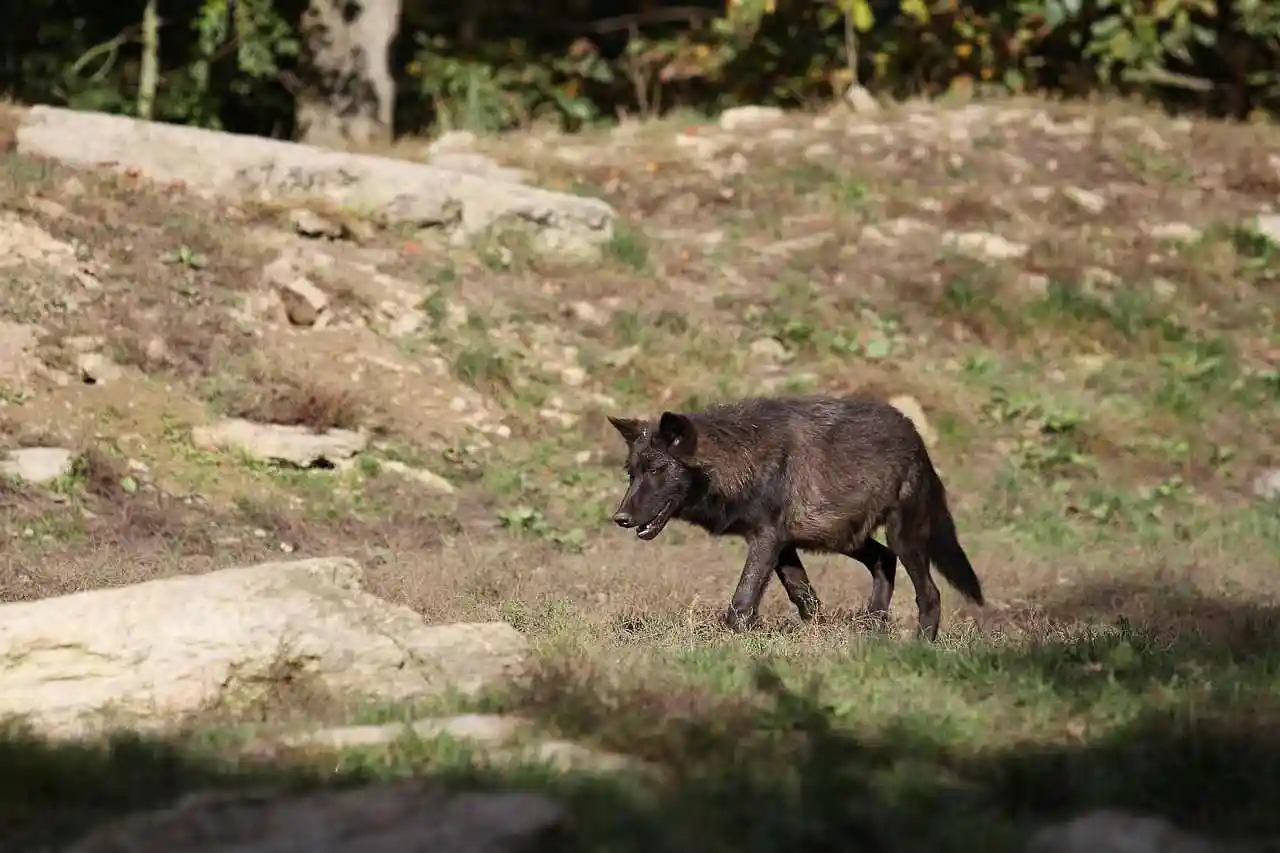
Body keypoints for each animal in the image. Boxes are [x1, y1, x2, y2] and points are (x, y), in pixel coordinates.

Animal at [604, 391, 983, 637]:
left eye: (656, 471)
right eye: (631, 474)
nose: (620, 518)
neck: (741, 458)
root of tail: (914, 434)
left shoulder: (766, 540)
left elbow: (743, 599)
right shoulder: (782, 545)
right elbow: (805, 597)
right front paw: (817, 634)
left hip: (901, 538)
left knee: (929, 593)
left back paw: (920, 644)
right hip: (844, 539)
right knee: (884, 561)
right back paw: (872, 628)